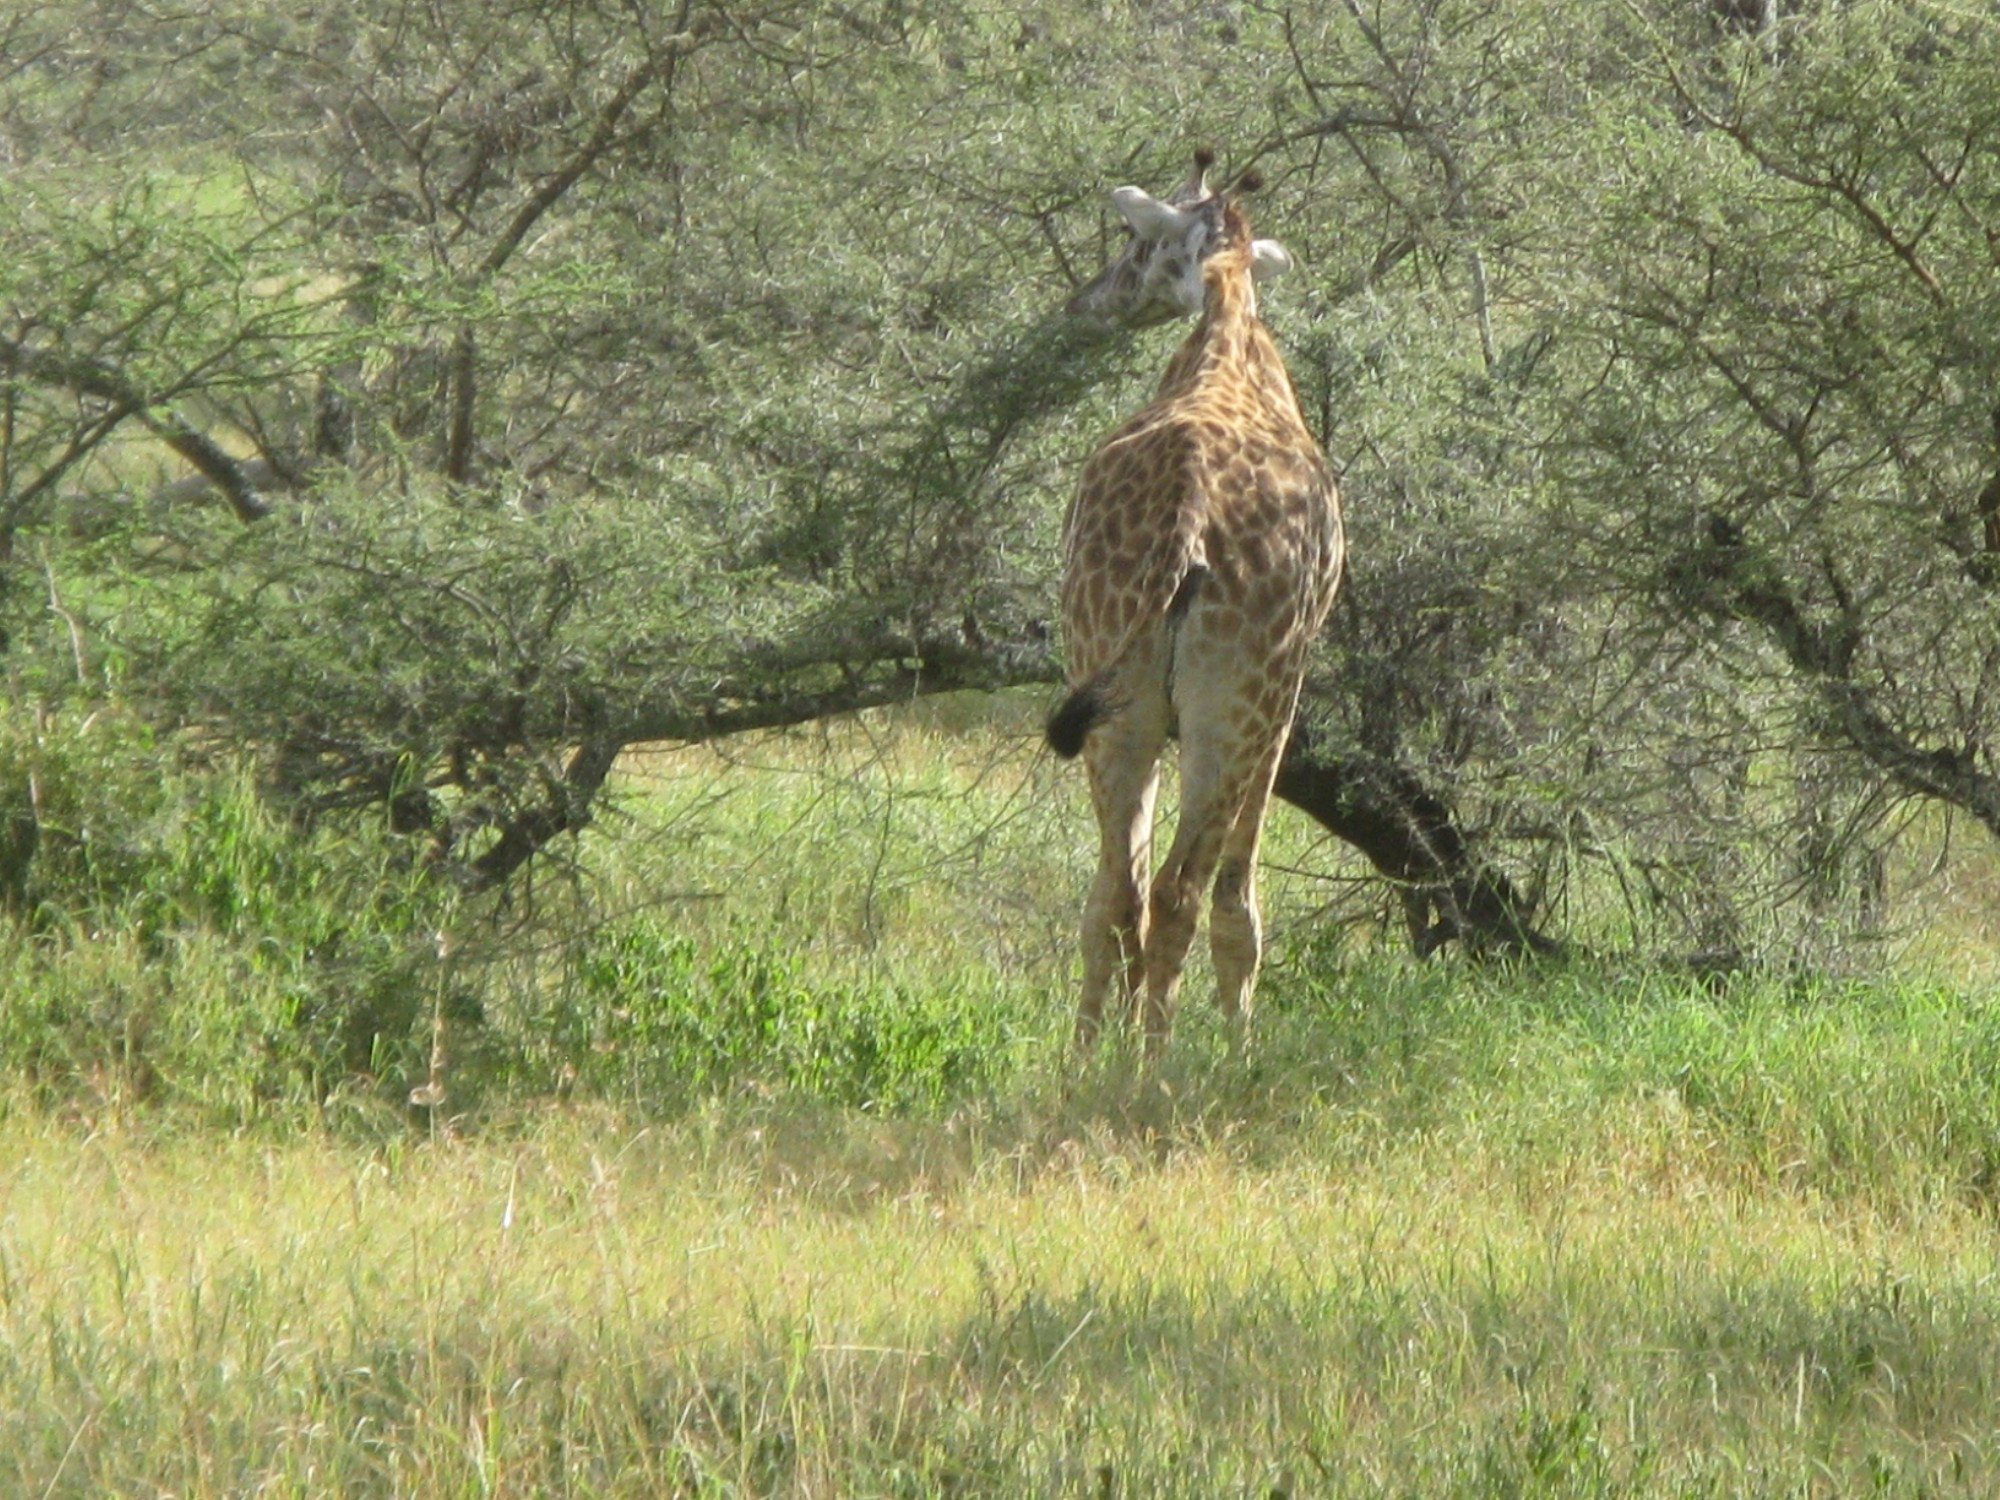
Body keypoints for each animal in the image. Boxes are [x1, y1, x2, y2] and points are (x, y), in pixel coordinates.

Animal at [1048, 156, 1344, 1056]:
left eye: (1130, 238)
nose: (1085, 302)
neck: (1229, 329)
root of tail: (1187, 519)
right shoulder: (1283, 702)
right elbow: (1239, 903)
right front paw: (1240, 1052)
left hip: (1115, 692)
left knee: (1117, 894)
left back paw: (1087, 1067)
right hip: (1234, 702)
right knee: (1178, 891)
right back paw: (1156, 1068)